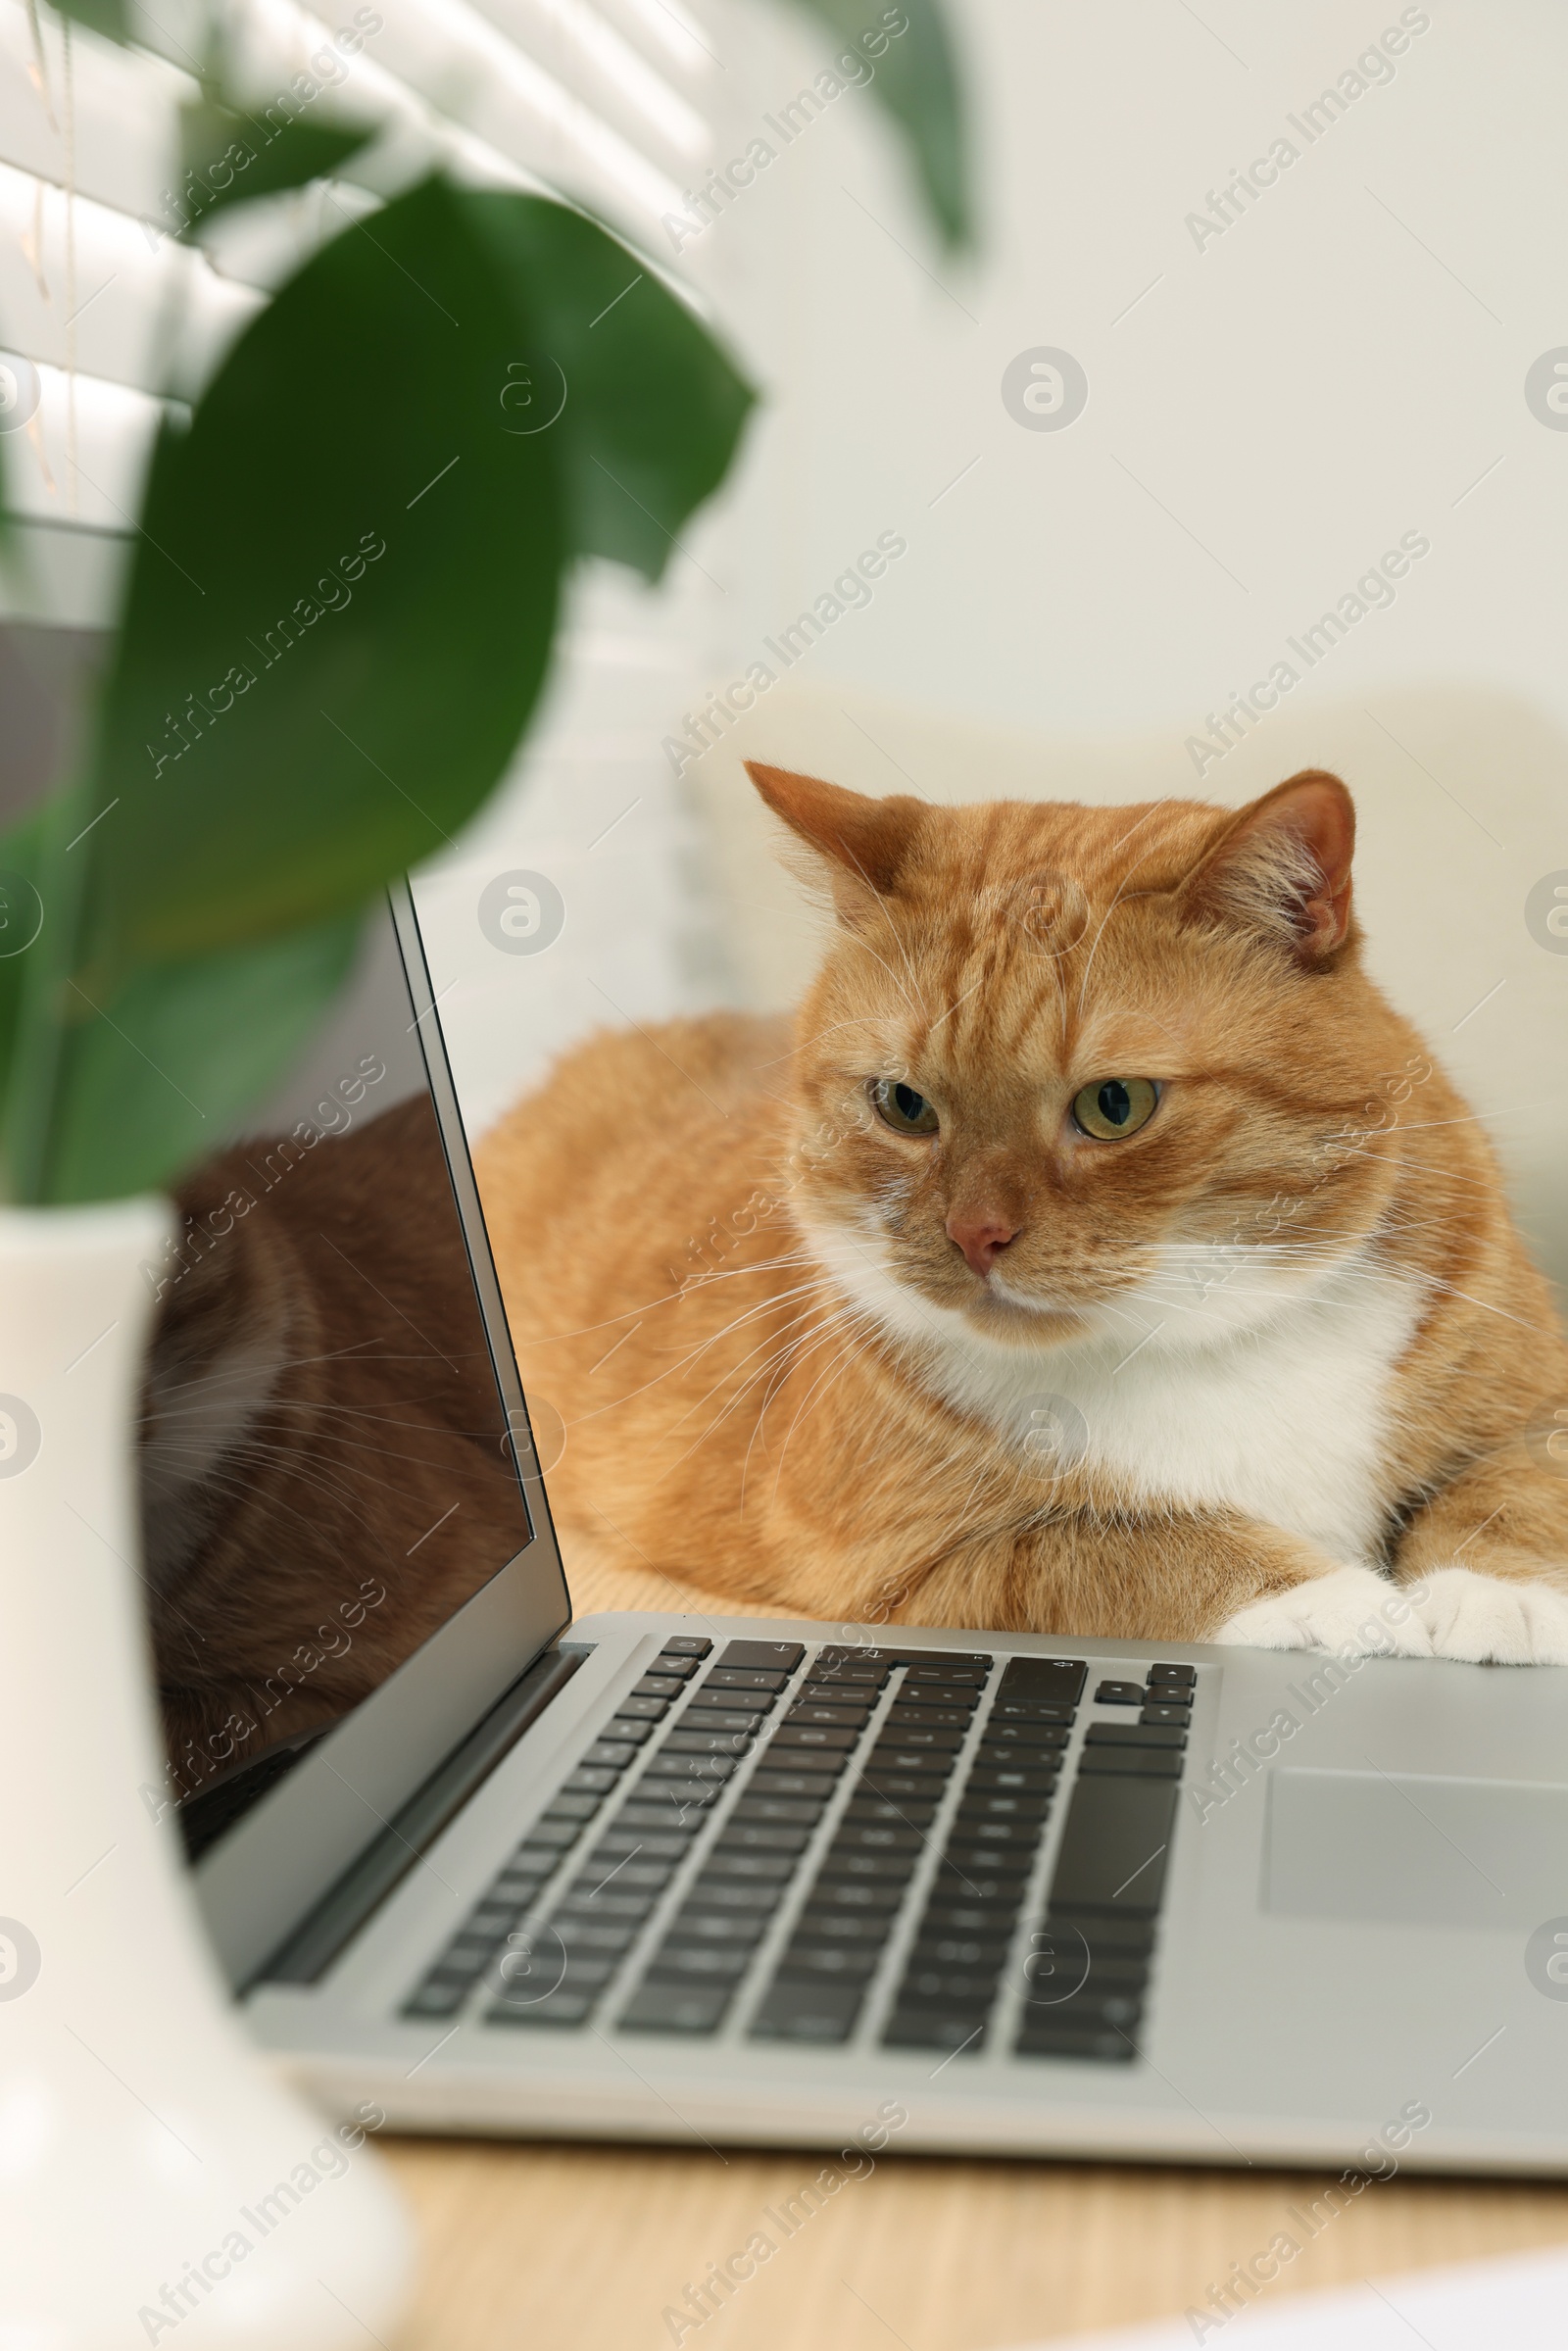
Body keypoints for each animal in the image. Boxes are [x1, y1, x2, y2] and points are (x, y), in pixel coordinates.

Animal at [474, 761, 1568, 1664]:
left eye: (1115, 1104)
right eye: (903, 1104)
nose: (974, 1235)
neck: (1199, 1334)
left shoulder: (1531, 1390)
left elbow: (1513, 1478)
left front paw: (1496, 1591)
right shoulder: (914, 1560)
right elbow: (1125, 1546)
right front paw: (1333, 1600)